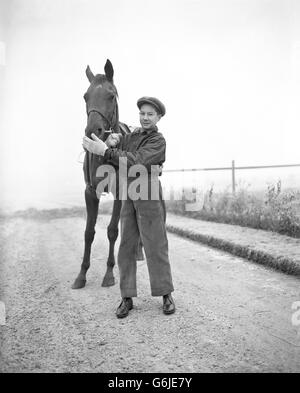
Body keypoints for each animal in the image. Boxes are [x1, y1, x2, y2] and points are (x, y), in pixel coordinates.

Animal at [72, 59, 144, 290]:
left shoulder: (120, 192)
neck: (104, 150)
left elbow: (112, 230)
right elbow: (89, 232)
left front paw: (109, 273)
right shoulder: (90, 192)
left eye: (111, 96)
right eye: (85, 96)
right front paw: (81, 275)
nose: (92, 130)